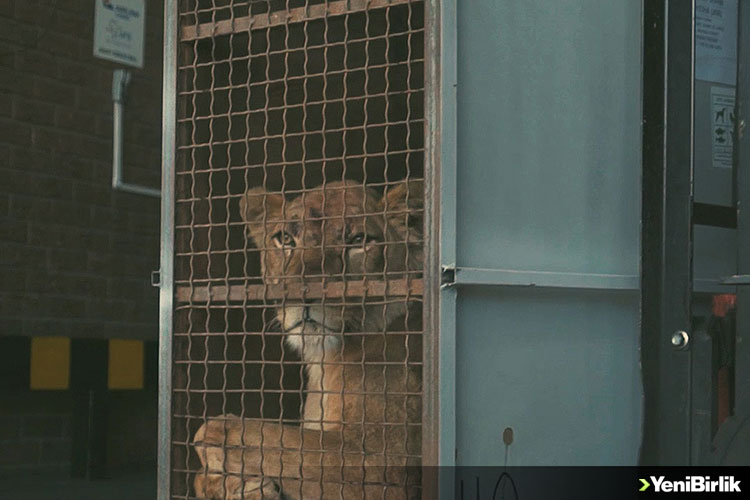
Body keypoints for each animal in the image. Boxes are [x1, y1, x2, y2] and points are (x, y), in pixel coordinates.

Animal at [192, 181, 424, 500]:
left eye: (359, 239)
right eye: (286, 239)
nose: (302, 294)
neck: (326, 360)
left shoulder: (386, 464)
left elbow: (227, 434)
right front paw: (232, 486)